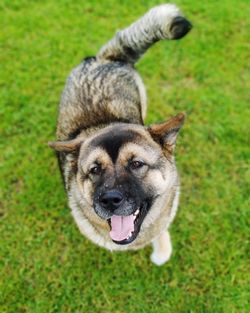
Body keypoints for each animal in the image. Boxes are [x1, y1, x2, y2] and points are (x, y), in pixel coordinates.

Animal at [49, 3, 193, 264]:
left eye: (137, 164)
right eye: (94, 170)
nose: (109, 200)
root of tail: (104, 59)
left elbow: (162, 229)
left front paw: (161, 250)